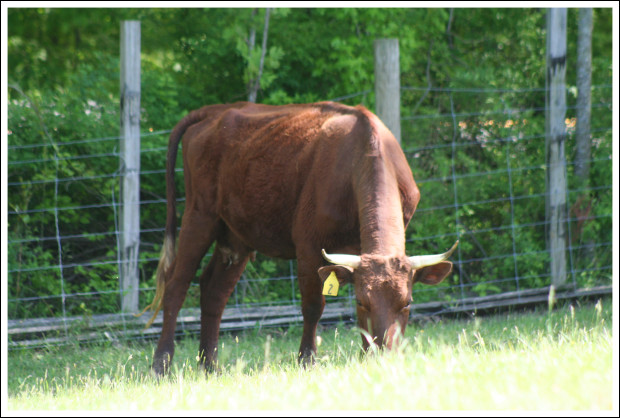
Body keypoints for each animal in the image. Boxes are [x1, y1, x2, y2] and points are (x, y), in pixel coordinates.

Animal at [143, 101, 458, 376]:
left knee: (214, 291)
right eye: (361, 302)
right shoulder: (308, 244)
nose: (384, 356)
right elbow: (313, 306)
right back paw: (161, 365)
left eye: (407, 303)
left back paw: (210, 366)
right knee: (176, 285)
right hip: (199, 214)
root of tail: (215, 110)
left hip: (235, 233)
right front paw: (307, 361)